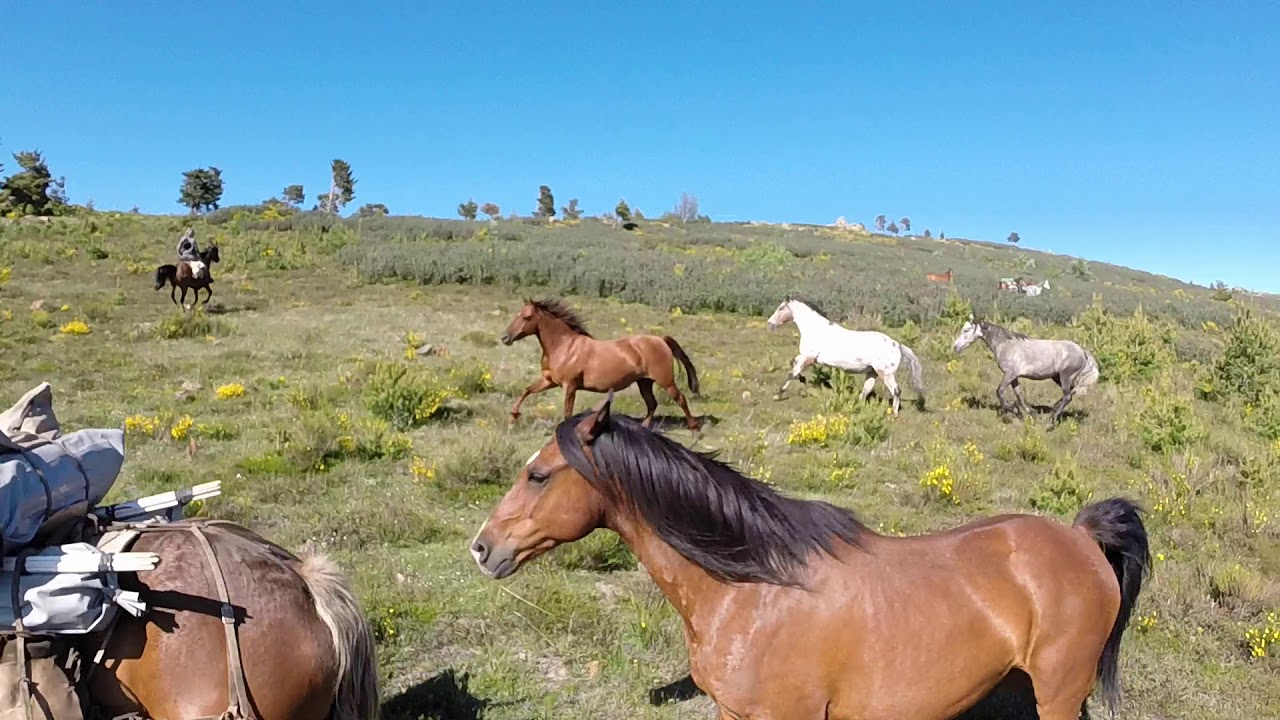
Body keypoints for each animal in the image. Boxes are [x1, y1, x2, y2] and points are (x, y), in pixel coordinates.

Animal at [501, 297, 702, 434]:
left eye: (527, 317)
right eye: (518, 314)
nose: (505, 338)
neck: (564, 347)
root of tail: (660, 339)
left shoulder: (569, 386)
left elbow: (567, 411)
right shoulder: (549, 380)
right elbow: (527, 390)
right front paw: (512, 418)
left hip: (665, 381)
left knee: (680, 399)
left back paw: (694, 429)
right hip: (644, 382)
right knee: (652, 404)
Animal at [766, 296, 925, 413]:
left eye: (781, 308)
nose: (769, 323)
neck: (816, 330)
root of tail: (896, 345)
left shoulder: (808, 357)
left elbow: (791, 373)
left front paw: (778, 394)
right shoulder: (807, 357)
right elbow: (793, 364)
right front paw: (802, 380)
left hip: (885, 373)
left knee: (896, 391)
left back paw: (894, 414)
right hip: (872, 372)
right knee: (866, 390)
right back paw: (855, 406)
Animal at [952, 314, 1098, 425]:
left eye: (966, 330)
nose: (955, 347)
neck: (1007, 346)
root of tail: (1083, 352)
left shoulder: (1009, 374)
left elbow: (999, 392)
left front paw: (1014, 410)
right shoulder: (1014, 377)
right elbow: (1019, 395)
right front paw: (1029, 413)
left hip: (1065, 376)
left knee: (1068, 396)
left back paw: (1051, 421)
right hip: (1058, 377)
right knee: (1071, 393)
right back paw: (1053, 409)